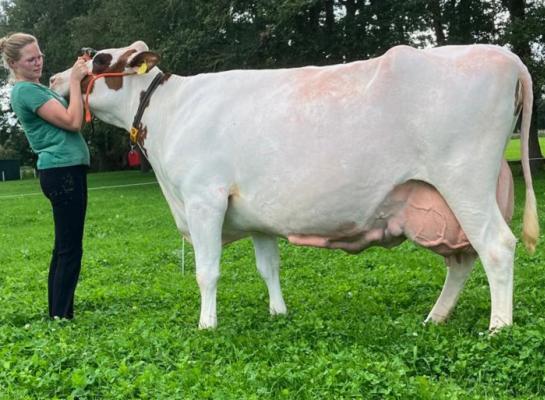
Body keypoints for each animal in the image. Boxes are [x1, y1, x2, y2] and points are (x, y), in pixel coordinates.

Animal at [50, 41, 536, 332]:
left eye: (97, 60)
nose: (55, 80)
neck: (169, 110)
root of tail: (505, 56)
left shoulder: (204, 199)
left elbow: (208, 271)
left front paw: (207, 325)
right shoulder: (256, 213)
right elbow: (269, 267)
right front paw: (278, 313)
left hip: (465, 181)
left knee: (496, 246)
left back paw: (498, 326)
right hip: (443, 199)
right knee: (462, 258)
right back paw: (435, 317)